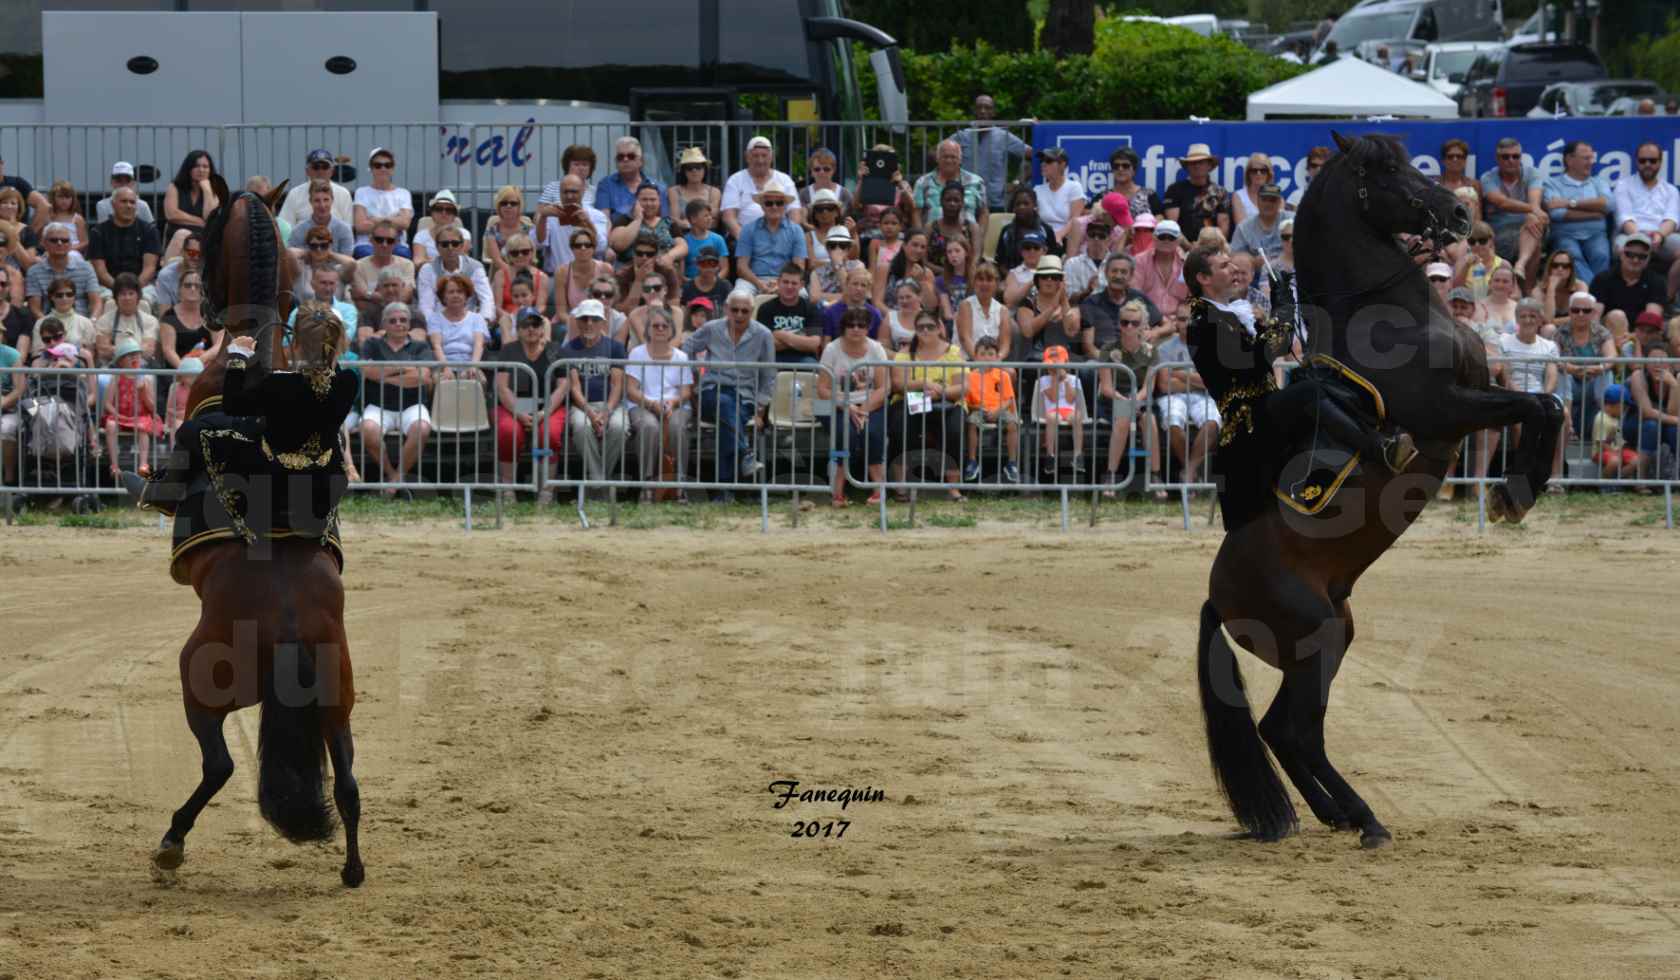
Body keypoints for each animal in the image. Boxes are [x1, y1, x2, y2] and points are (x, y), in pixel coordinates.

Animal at [152, 185, 366, 887]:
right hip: (338, 705)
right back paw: (353, 870)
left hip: (198, 682)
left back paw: (170, 844)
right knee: (348, 781)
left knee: (219, 765)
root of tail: (292, 629)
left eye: (206, 233)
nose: (207, 312)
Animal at [1196, 131, 1559, 850]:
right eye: (1384, 170)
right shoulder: (1447, 411)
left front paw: (1519, 488)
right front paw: (1516, 491)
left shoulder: (1475, 396)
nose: (1458, 213)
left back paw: (1340, 814)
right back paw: (1363, 819)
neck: (1387, 315)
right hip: (1316, 641)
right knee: (1294, 732)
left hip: (1333, 634)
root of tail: (1216, 596)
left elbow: (1546, 405)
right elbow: (1541, 405)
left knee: (1283, 729)